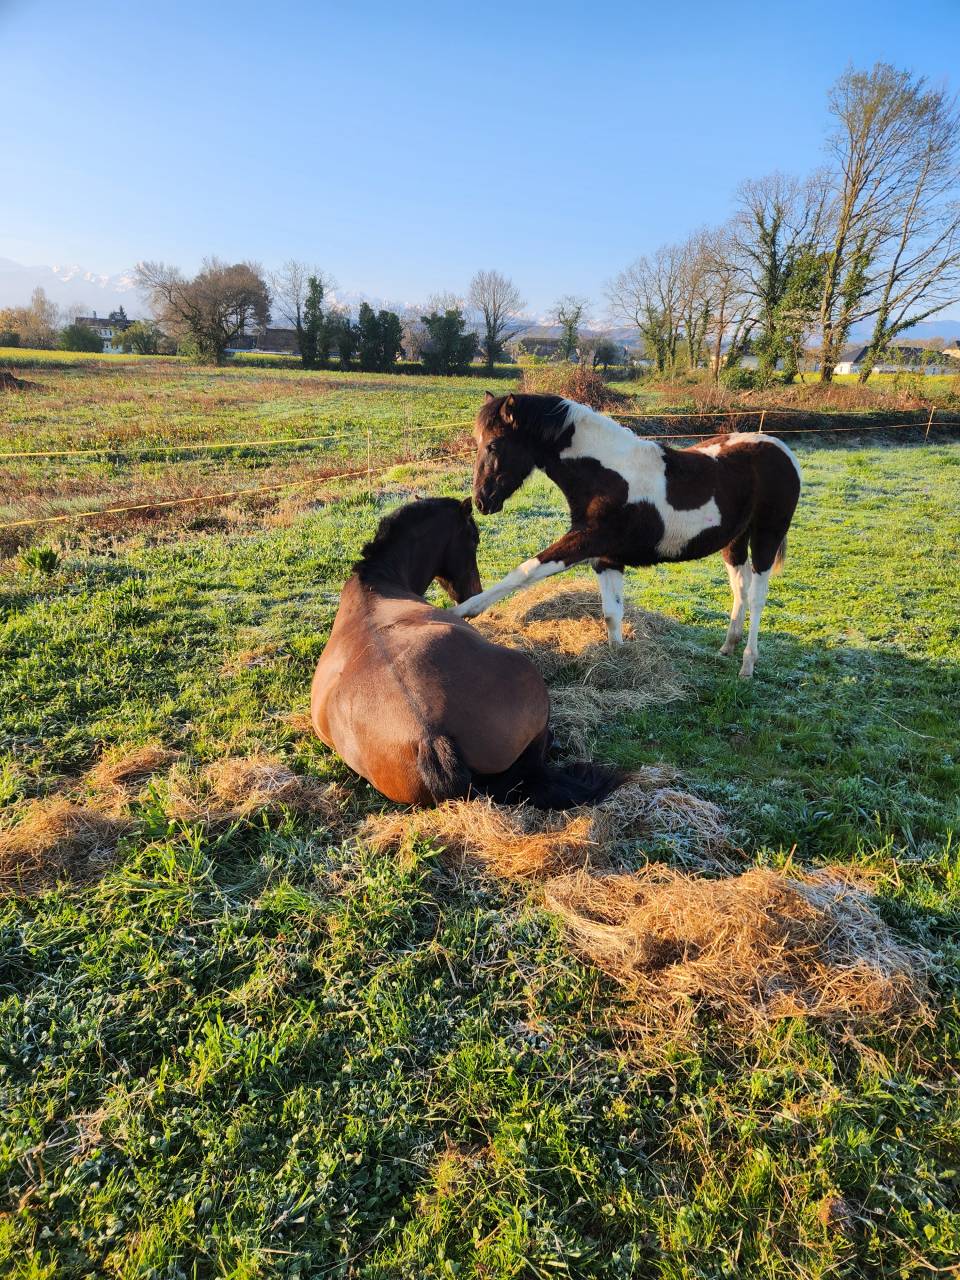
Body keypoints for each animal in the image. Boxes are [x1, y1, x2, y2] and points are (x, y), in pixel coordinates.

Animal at [453, 392, 801, 679]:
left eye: (493, 445)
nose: (482, 501)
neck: (606, 475)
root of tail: (783, 450)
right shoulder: (606, 559)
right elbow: (611, 614)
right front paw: (617, 656)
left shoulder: (584, 543)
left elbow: (524, 571)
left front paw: (464, 611)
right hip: (734, 542)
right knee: (740, 587)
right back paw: (727, 647)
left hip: (767, 536)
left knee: (756, 596)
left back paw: (747, 664)